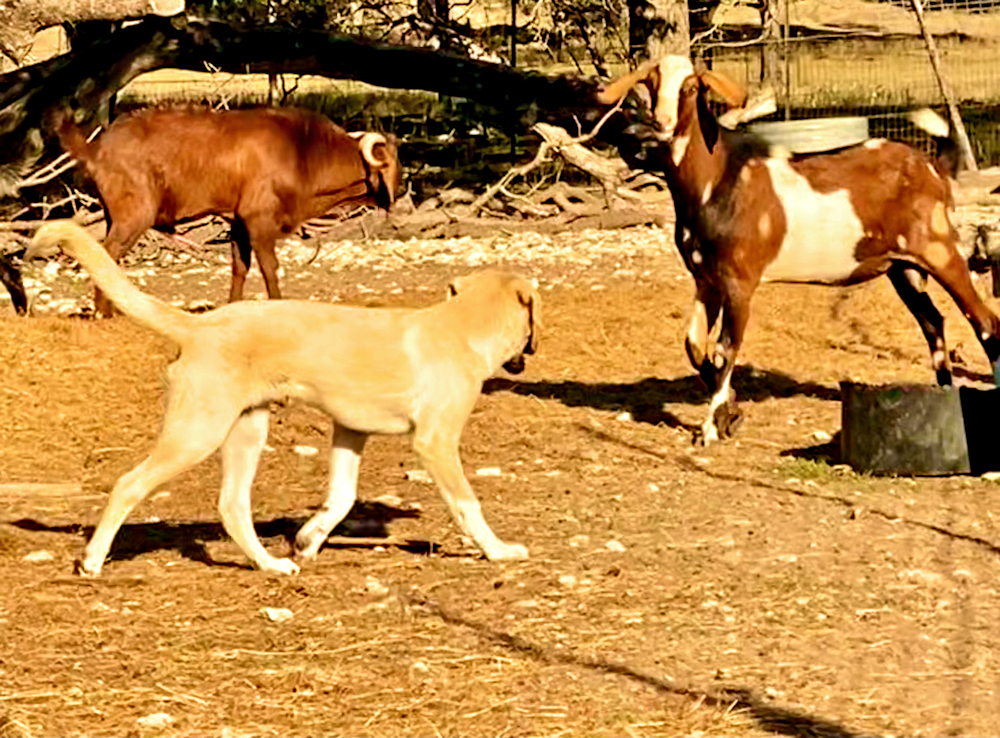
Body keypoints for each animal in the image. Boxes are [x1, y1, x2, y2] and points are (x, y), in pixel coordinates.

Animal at [27, 218, 536, 576]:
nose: (523, 360)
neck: (459, 326)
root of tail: (198, 324)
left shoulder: (350, 431)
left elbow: (341, 497)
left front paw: (308, 539)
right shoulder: (435, 443)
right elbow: (467, 504)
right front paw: (499, 550)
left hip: (246, 431)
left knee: (232, 506)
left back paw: (269, 564)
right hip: (197, 433)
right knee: (129, 484)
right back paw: (92, 560)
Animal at [56, 105, 400, 314]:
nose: (400, 191)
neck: (304, 151)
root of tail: (97, 146)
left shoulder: (237, 223)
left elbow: (239, 267)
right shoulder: (259, 220)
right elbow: (269, 267)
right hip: (134, 215)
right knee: (108, 252)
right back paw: (103, 312)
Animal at [596, 57, 1000, 442]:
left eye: (692, 86)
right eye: (650, 82)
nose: (659, 123)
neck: (719, 179)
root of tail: (933, 168)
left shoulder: (739, 281)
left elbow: (726, 349)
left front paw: (711, 428)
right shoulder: (706, 279)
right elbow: (695, 346)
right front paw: (733, 413)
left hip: (940, 250)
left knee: (985, 323)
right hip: (902, 267)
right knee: (933, 322)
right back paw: (944, 394)